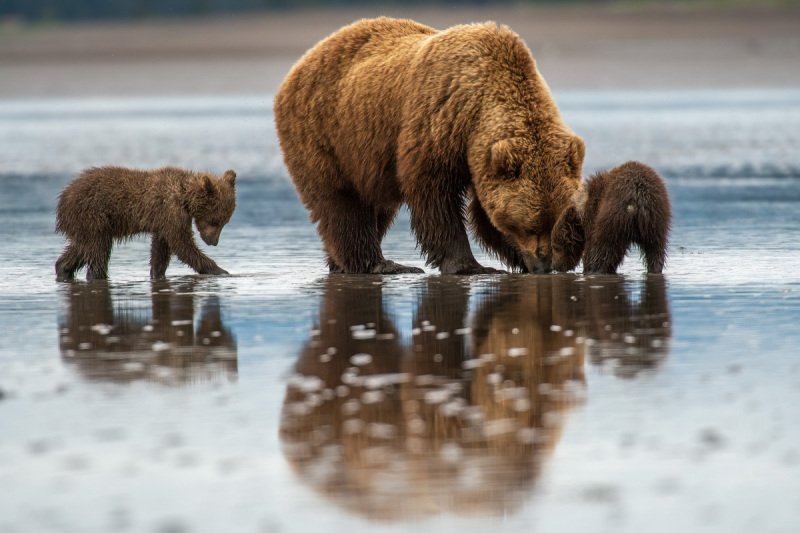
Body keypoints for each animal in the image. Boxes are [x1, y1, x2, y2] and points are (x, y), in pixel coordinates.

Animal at [276, 16, 580, 274]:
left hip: (369, 157)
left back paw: (341, 262)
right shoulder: (439, 123)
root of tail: (299, 65)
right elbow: (435, 196)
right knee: (342, 201)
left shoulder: (478, 156)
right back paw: (378, 264)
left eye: (554, 221)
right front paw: (469, 266)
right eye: (530, 225)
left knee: (378, 206)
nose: (543, 265)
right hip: (326, 135)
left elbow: (484, 211)